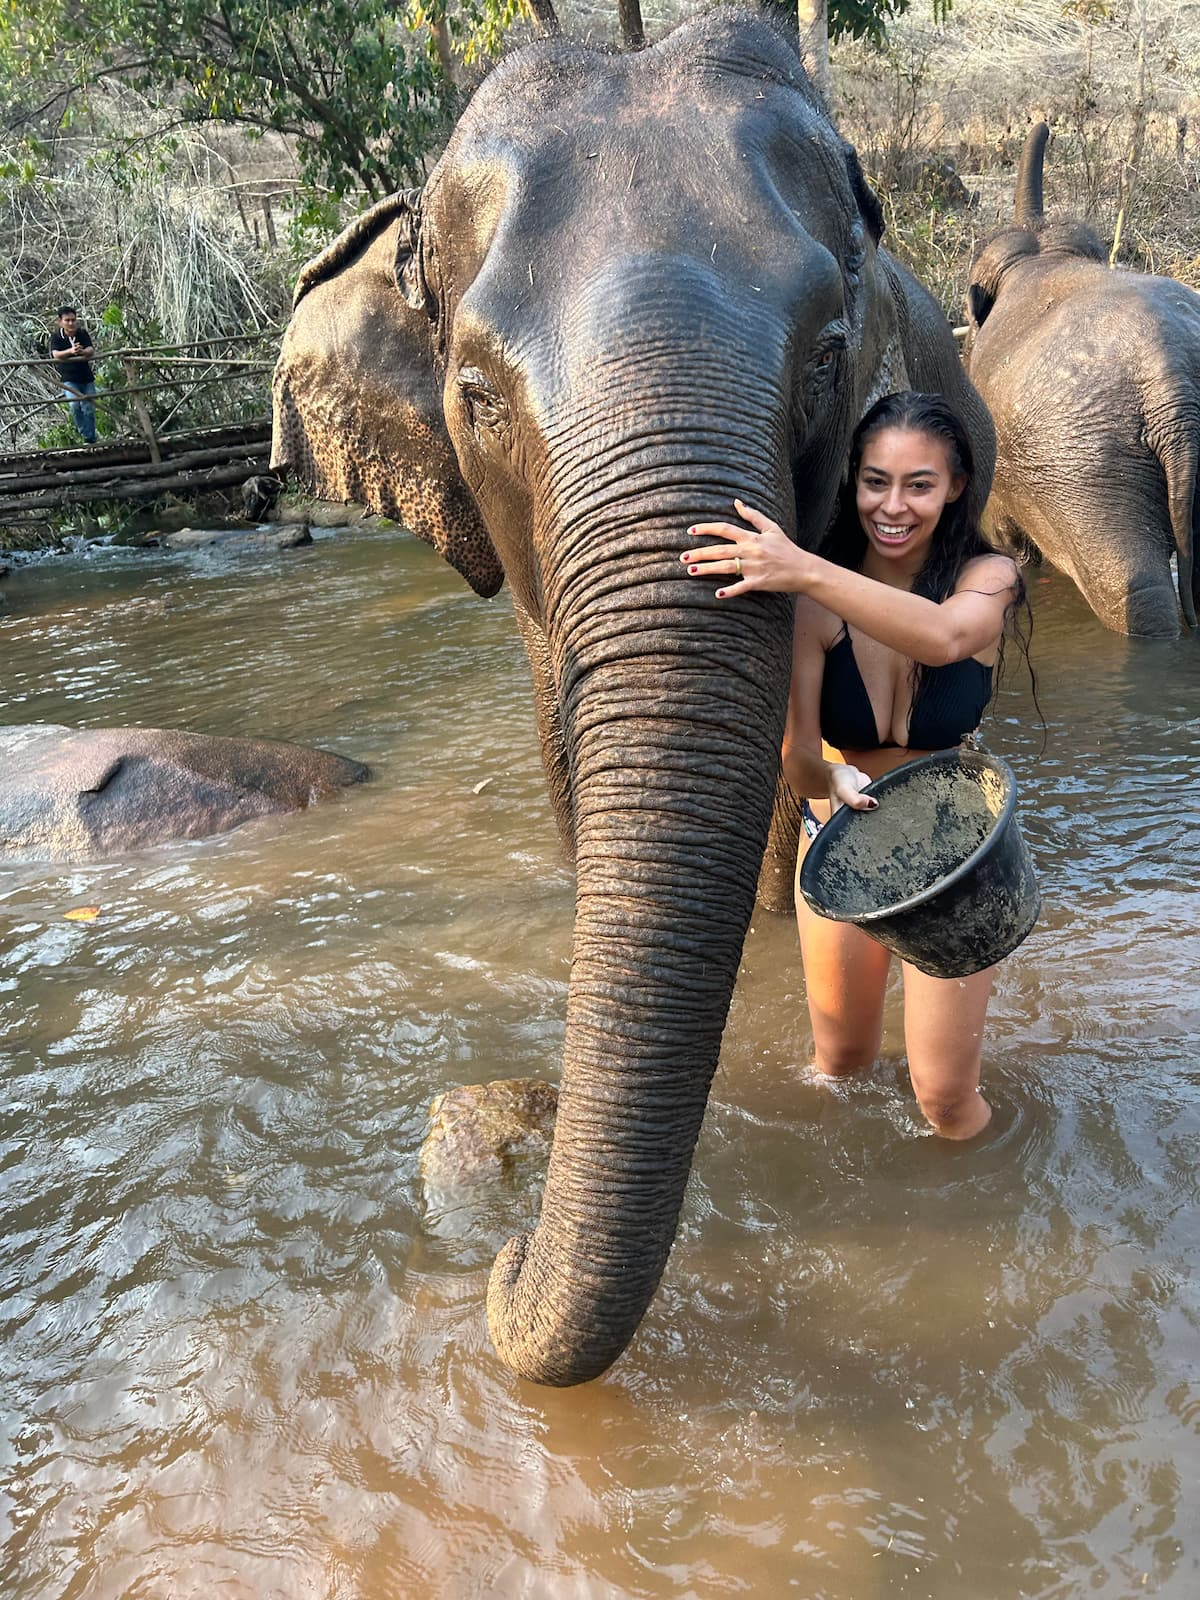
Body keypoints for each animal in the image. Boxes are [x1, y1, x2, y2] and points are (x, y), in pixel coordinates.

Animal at [964, 120, 1200, 636]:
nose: (1045, 124)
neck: (1043, 254)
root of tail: (1175, 391)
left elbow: (1006, 542)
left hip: (1086, 467)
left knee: (1131, 588)